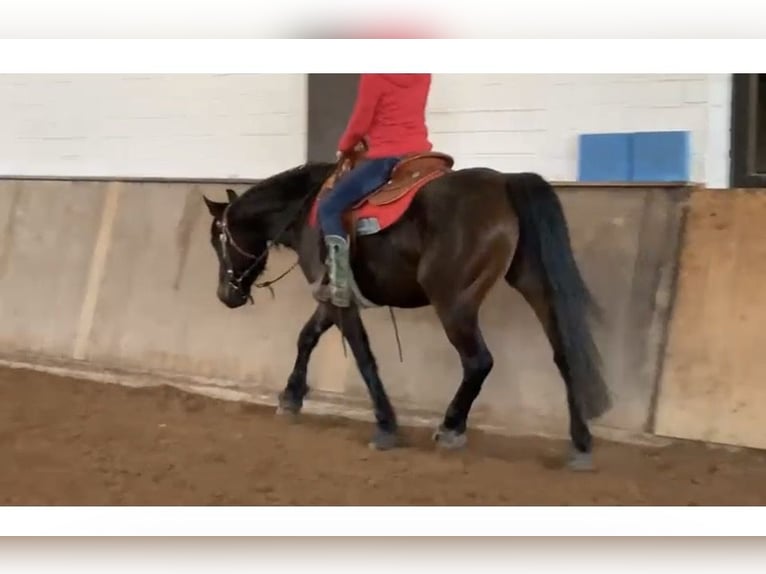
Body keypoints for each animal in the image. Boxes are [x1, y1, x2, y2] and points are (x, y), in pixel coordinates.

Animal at [202, 152, 612, 471]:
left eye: (217, 240)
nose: (225, 294)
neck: (307, 210)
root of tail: (505, 182)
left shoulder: (339, 299)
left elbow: (363, 356)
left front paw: (386, 425)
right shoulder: (329, 299)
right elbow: (307, 337)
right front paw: (291, 396)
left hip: (454, 303)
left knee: (478, 361)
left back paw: (451, 427)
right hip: (534, 286)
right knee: (564, 354)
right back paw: (580, 444)